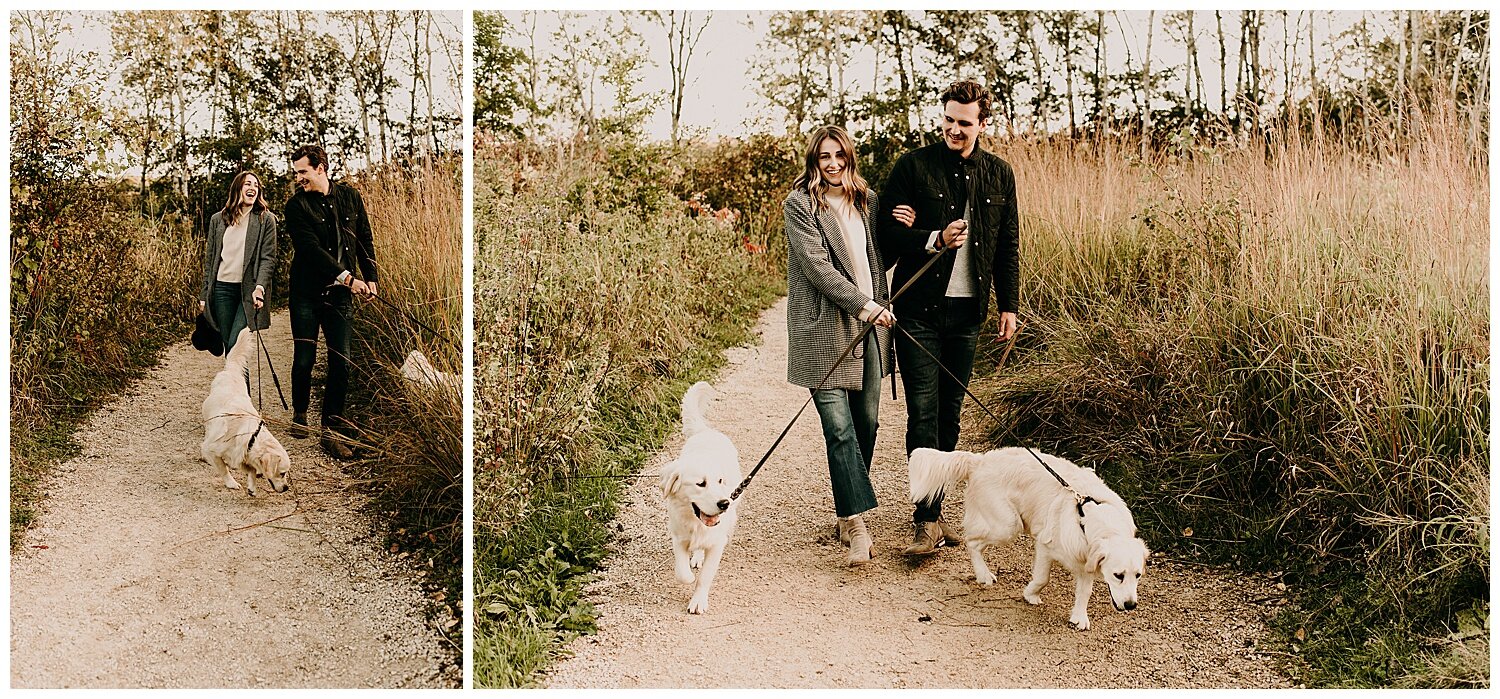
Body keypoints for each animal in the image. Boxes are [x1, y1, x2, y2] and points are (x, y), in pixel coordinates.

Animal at [663, 379, 744, 615]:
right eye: (701, 483)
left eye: (720, 481)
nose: (724, 503)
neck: (696, 523)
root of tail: (705, 431)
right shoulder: (678, 536)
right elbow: (682, 571)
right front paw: (688, 577)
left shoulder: (717, 544)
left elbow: (705, 576)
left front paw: (698, 600)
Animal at [900, 447, 1146, 633]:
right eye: (1118, 575)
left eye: (1138, 575)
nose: (1131, 605)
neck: (1088, 515)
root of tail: (979, 460)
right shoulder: (1046, 546)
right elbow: (1042, 578)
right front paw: (1030, 595)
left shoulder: (1085, 558)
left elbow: (1085, 591)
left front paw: (1079, 616)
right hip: (1007, 525)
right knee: (972, 542)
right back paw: (983, 574)